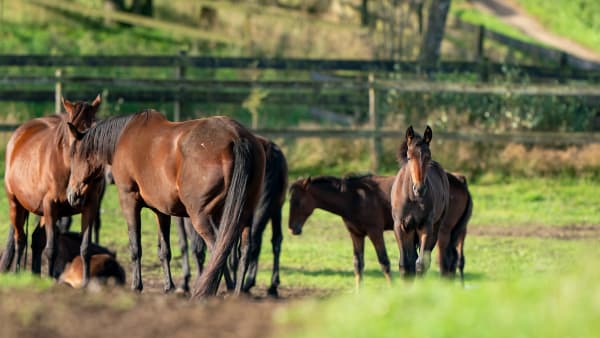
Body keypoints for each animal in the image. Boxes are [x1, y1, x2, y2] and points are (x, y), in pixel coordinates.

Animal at [0, 96, 103, 284]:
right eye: (72, 130)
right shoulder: (51, 206)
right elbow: (51, 249)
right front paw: (51, 280)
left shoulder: (89, 207)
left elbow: (85, 248)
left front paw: (85, 283)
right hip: (16, 205)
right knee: (20, 239)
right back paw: (17, 273)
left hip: (42, 212)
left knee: (35, 239)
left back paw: (35, 275)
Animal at [66, 109, 264, 298]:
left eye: (73, 156)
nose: (71, 195)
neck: (124, 138)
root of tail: (236, 137)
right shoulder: (161, 210)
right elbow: (164, 251)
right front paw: (169, 287)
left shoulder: (129, 201)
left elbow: (135, 247)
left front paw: (136, 286)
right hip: (243, 214)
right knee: (243, 251)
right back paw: (235, 294)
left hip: (203, 216)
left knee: (220, 248)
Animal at [390, 125, 450, 276]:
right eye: (409, 157)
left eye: (428, 156)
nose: (420, 189)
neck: (412, 198)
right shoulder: (400, 226)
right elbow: (404, 264)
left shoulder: (425, 226)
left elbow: (421, 264)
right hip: (411, 230)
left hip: (434, 227)